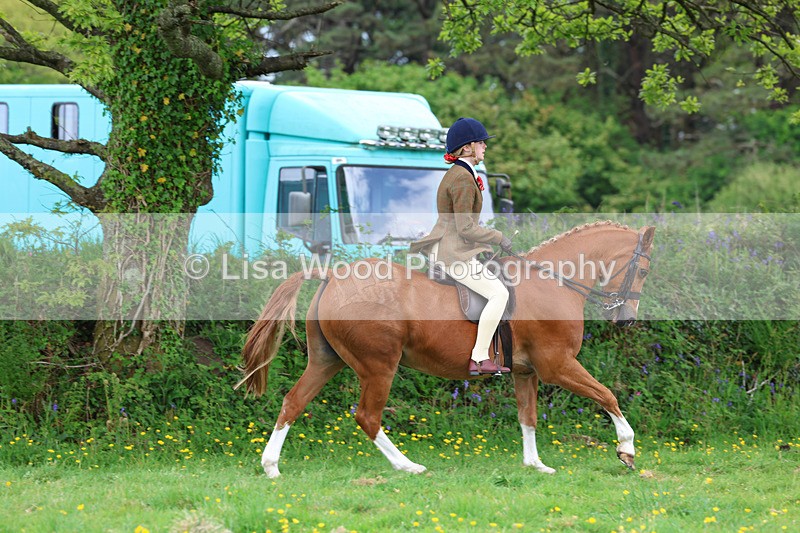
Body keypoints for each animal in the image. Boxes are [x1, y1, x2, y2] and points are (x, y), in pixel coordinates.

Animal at [238, 221, 655, 477]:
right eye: (644, 271)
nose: (627, 320)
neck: (552, 281)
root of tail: (331, 276)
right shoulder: (558, 365)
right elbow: (608, 395)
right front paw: (627, 450)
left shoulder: (527, 372)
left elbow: (528, 417)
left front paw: (535, 465)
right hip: (379, 366)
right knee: (367, 417)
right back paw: (409, 467)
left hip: (327, 361)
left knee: (293, 402)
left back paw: (271, 466)